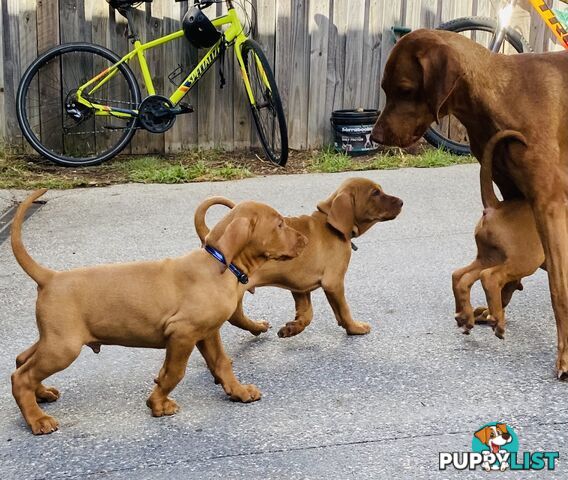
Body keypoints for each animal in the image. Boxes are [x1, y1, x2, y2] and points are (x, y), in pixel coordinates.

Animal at [8, 189, 306, 434]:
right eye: (279, 224)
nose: (304, 239)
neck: (218, 263)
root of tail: (50, 277)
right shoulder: (182, 334)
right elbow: (174, 372)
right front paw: (158, 405)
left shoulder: (207, 332)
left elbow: (222, 363)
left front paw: (239, 392)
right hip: (64, 346)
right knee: (21, 377)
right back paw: (37, 420)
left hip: (54, 338)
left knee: (22, 359)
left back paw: (42, 394)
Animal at [195, 178, 404, 340]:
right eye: (375, 193)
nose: (402, 202)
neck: (331, 226)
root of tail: (209, 237)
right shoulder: (333, 282)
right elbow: (343, 309)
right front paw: (355, 328)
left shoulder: (299, 285)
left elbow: (307, 313)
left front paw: (293, 328)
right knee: (235, 317)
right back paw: (257, 327)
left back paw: (258, 327)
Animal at [450, 129, 544, 340]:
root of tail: (496, 207)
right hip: (526, 258)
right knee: (490, 278)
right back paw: (497, 323)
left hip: (490, 256)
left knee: (461, 276)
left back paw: (465, 317)